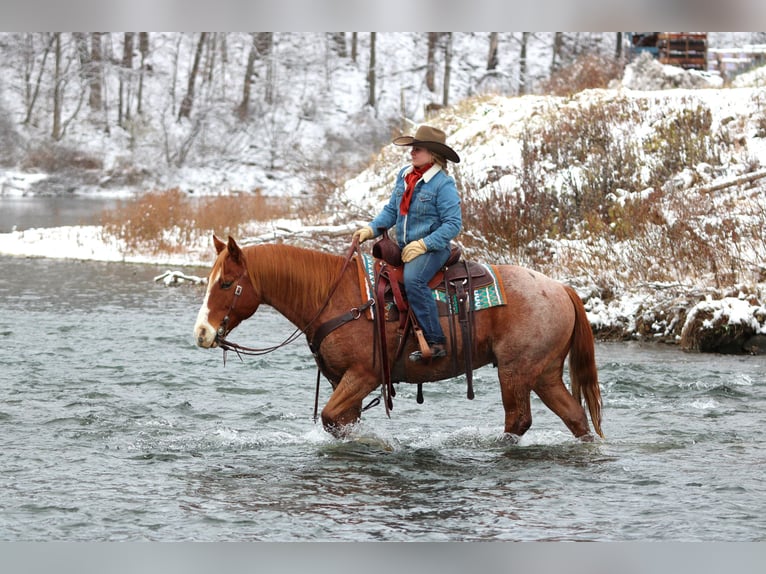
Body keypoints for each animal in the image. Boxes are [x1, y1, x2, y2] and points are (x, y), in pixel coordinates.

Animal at [193, 235, 603, 441]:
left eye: (226, 283)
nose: (202, 332)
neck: (337, 297)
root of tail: (560, 288)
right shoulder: (343, 381)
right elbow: (341, 422)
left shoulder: (365, 375)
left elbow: (330, 418)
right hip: (544, 373)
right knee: (576, 417)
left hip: (515, 372)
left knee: (518, 420)